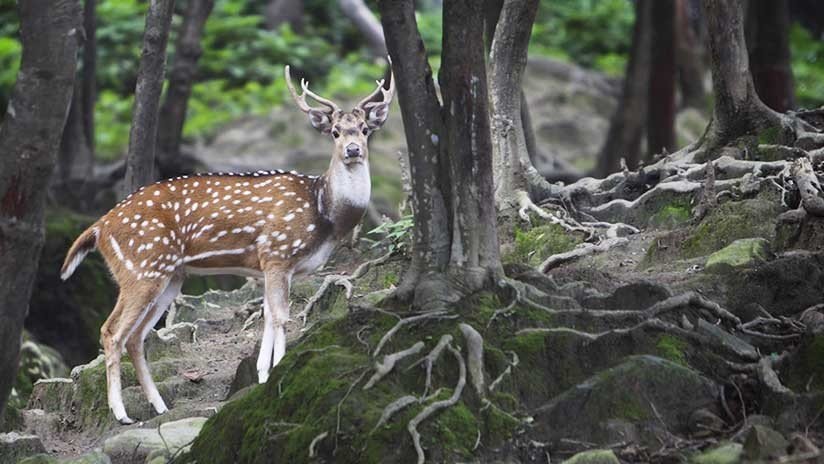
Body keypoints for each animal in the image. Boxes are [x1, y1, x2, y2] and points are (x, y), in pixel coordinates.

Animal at [59, 62, 394, 424]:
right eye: (334, 131)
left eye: (364, 129)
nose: (353, 150)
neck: (324, 214)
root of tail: (99, 226)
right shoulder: (277, 253)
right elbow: (281, 317)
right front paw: (278, 371)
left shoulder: (272, 267)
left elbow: (266, 315)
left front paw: (263, 373)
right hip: (141, 268)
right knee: (112, 331)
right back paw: (121, 414)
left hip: (169, 278)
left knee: (136, 337)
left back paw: (160, 406)